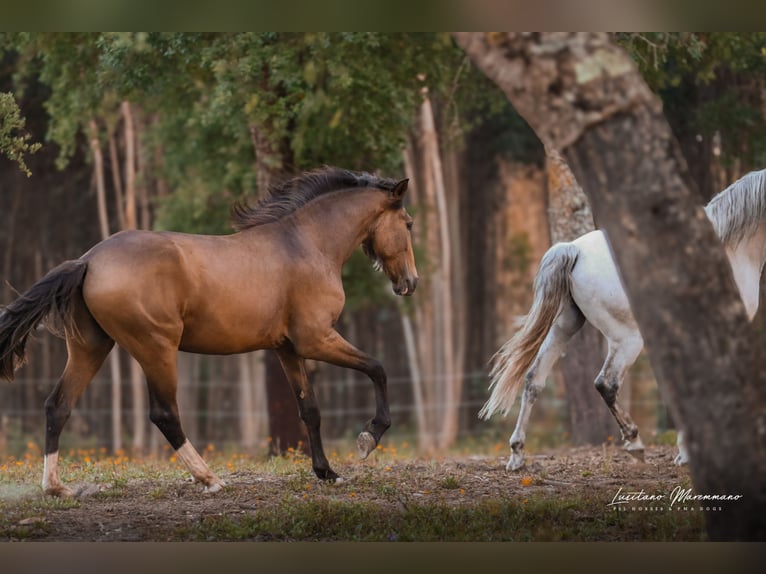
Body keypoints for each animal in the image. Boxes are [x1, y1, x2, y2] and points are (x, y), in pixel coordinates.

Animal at [1, 165, 420, 496]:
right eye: (409, 224)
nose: (410, 283)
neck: (306, 245)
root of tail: (88, 260)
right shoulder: (316, 339)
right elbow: (378, 368)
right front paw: (369, 438)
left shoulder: (288, 349)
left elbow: (310, 410)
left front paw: (327, 472)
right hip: (156, 349)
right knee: (165, 414)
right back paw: (210, 478)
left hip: (91, 348)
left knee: (58, 406)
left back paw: (56, 488)